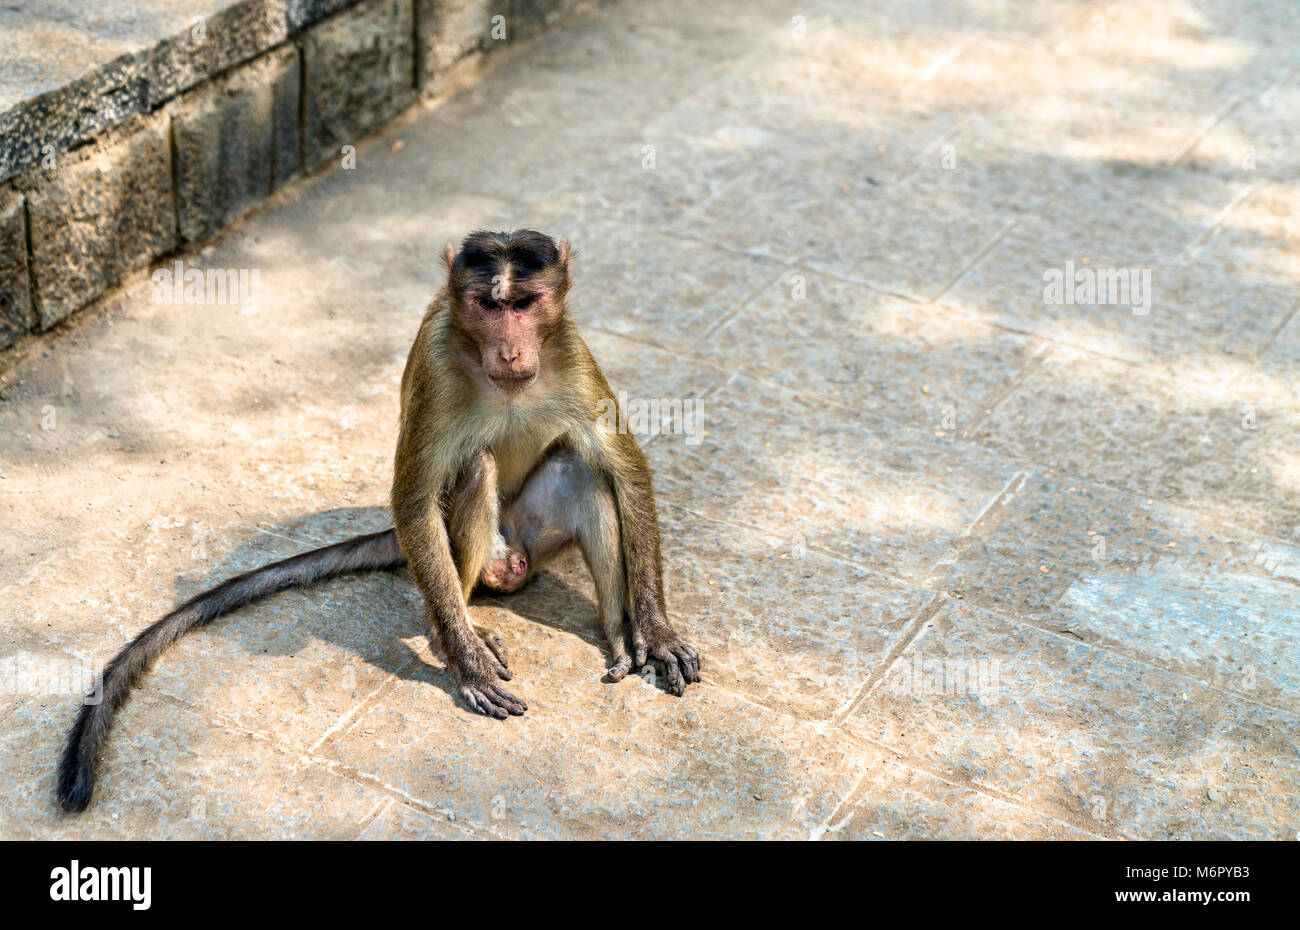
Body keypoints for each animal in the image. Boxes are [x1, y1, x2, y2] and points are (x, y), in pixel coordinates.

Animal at [53, 228, 702, 811]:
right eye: (488, 305)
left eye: (524, 303)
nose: (512, 350)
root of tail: (514, 557)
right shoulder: (440, 362)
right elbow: (415, 499)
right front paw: (467, 662)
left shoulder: (569, 349)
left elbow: (624, 468)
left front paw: (656, 632)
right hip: (487, 554)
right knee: (476, 470)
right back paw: (454, 629)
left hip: (533, 538)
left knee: (578, 466)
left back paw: (618, 634)